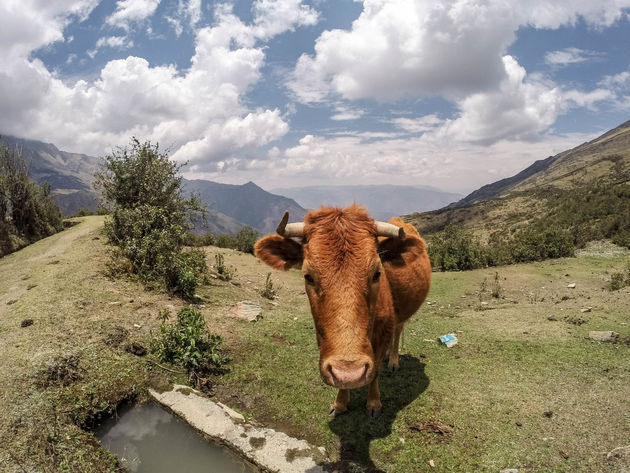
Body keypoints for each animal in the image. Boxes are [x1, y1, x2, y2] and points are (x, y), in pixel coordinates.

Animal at [254, 205, 432, 414]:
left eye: (377, 273)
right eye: (308, 276)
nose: (350, 373)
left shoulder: (383, 331)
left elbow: (376, 370)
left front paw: (373, 403)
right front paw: (340, 403)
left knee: (398, 331)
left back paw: (393, 360)